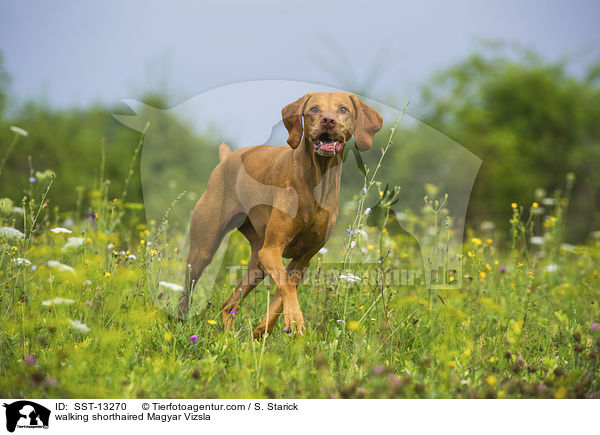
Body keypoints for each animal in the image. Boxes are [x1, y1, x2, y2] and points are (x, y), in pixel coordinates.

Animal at [179, 92, 384, 338]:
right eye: (314, 109)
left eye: (343, 109)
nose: (328, 121)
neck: (317, 180)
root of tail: (227, 158)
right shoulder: (271, 250)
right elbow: (286, 286)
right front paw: (293, 318)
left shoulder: (302, 260)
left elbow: (283, 294)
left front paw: (265, 330)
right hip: (204, 250)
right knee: (188, 289)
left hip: (256, 264)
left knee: (228, 305)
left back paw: (231, 337)